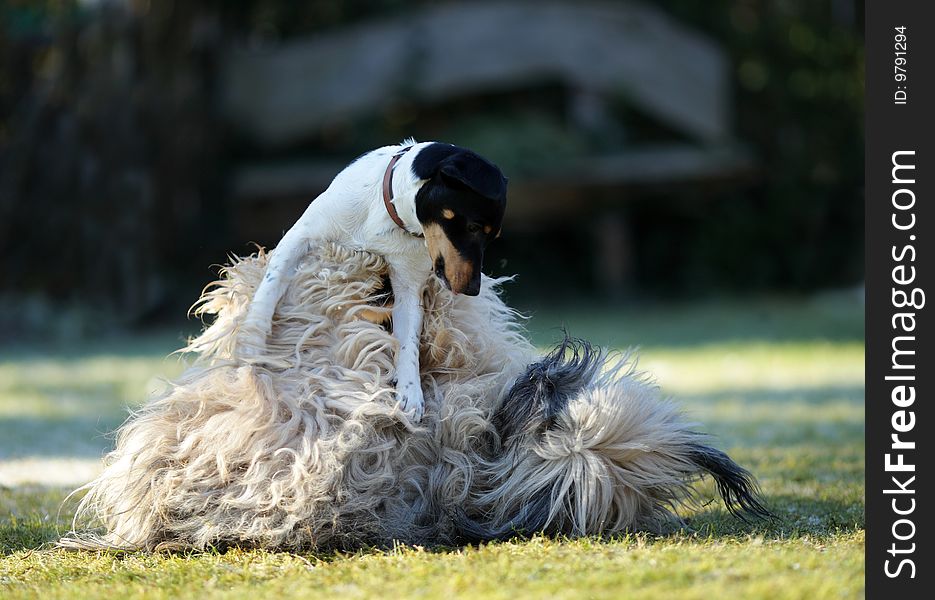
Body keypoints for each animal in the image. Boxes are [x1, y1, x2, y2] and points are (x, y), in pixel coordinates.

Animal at [238, 141, 508, 422]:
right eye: (474, 227)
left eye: (492, 236)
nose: (472, 290)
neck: (391, 220)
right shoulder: (300, 237)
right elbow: (270, 287)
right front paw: (251, 348)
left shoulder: (408, 289)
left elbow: (408, 343)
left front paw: (410, 392)